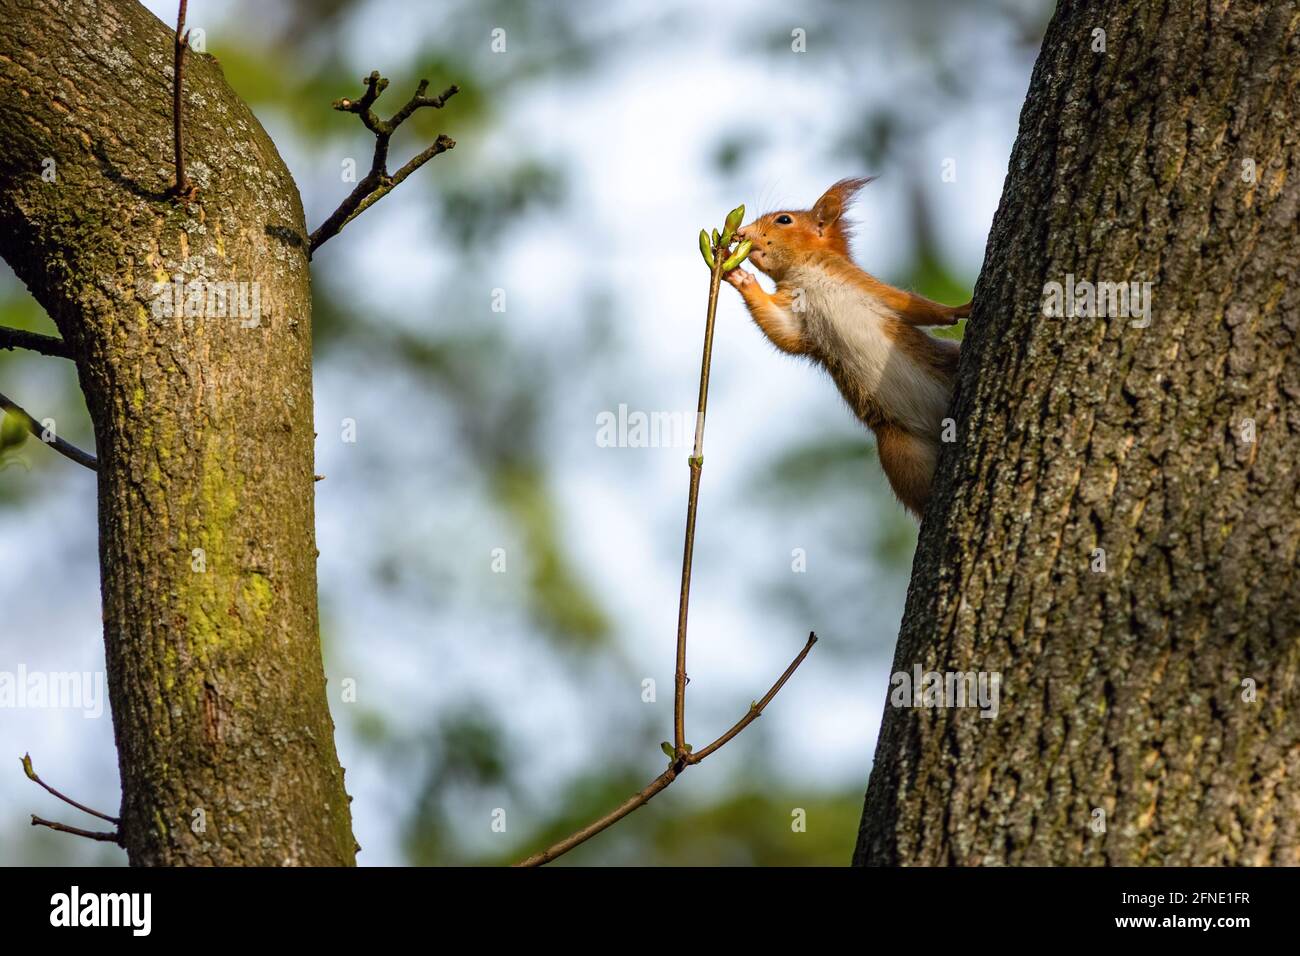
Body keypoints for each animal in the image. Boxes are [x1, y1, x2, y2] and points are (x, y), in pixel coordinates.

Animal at [728, 178, 972, 515]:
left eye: (784, 220)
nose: (742, 233)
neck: (805, 272)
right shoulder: (794, 314)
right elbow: (782, 332)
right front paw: (738, 277)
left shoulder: (866, 286)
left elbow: (915, 307)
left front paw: (961, 309)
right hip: (900, 450)